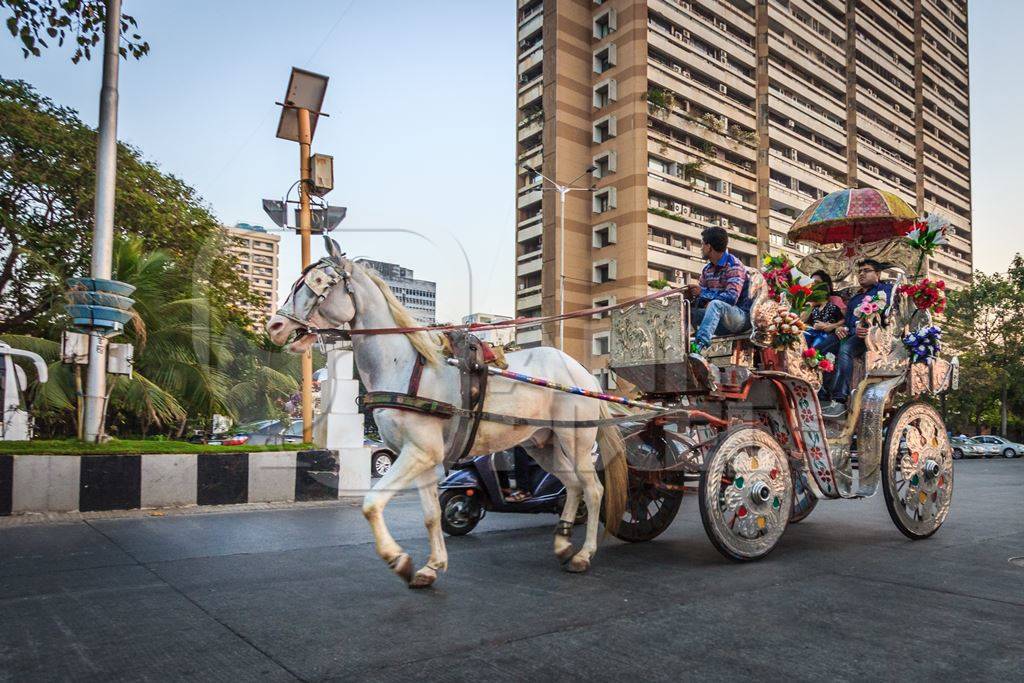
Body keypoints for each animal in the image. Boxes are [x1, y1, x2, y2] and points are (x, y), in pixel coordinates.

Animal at [264, 239, 626, 589]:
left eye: (319, 281)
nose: (275, 326)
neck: (404, 365)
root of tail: (583, 374)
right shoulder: (424, 457)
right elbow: (432, 514)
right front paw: (430, 567)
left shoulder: (419, 451)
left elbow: (372, 504)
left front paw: (399, 560)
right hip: (543, 443)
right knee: (573, 485)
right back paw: (564, 545)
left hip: (576, 438)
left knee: (593, 490)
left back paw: (584, 554)